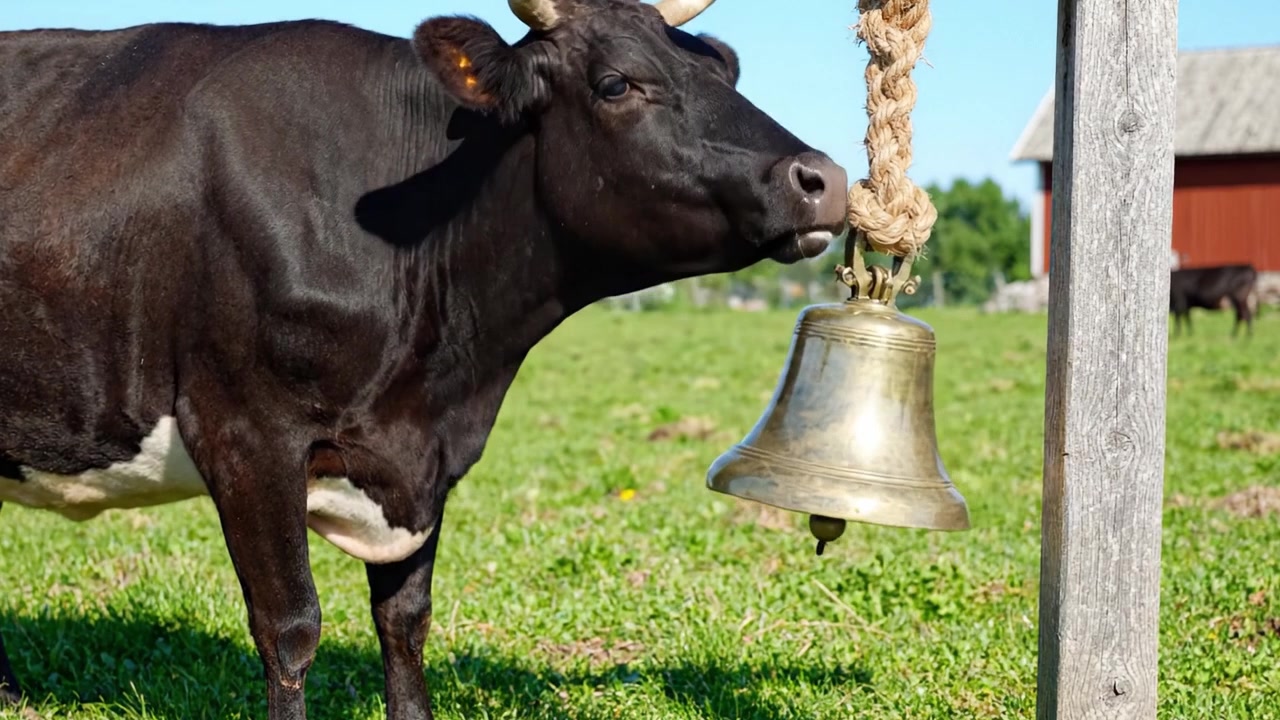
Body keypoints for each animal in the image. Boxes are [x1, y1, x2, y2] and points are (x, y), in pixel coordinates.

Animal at [0, 0, 849, 717]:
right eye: (616, 82)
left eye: (721, 72)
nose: (825, 179)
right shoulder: (245, 434)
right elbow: (289, 629)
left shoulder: (423, 456)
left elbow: (405, 621)